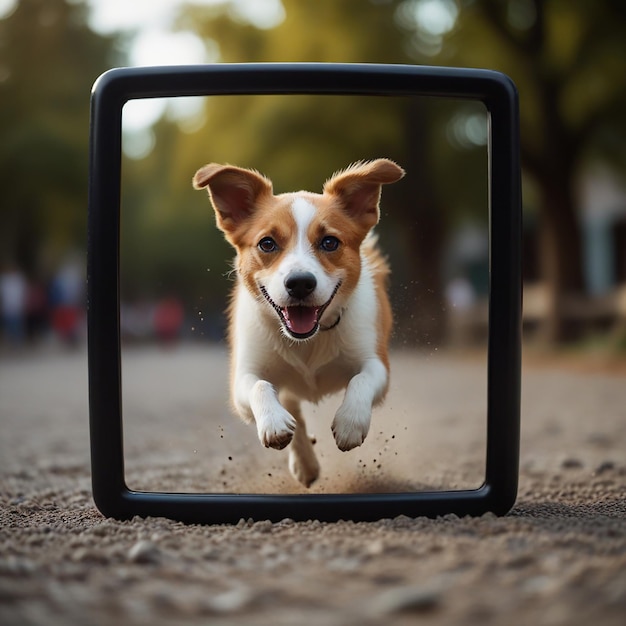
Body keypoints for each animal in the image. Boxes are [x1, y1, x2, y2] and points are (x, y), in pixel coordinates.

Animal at [193, 158, 402, 486]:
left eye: (329, 242)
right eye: (267, 243)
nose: (300, 283)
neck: (308, 340)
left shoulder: (377, 363)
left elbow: (362, 379)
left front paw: (350, 423)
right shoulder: (243, 375)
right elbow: (259, 385)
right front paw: (274, 423)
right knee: (291, 405)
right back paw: (304, 460)